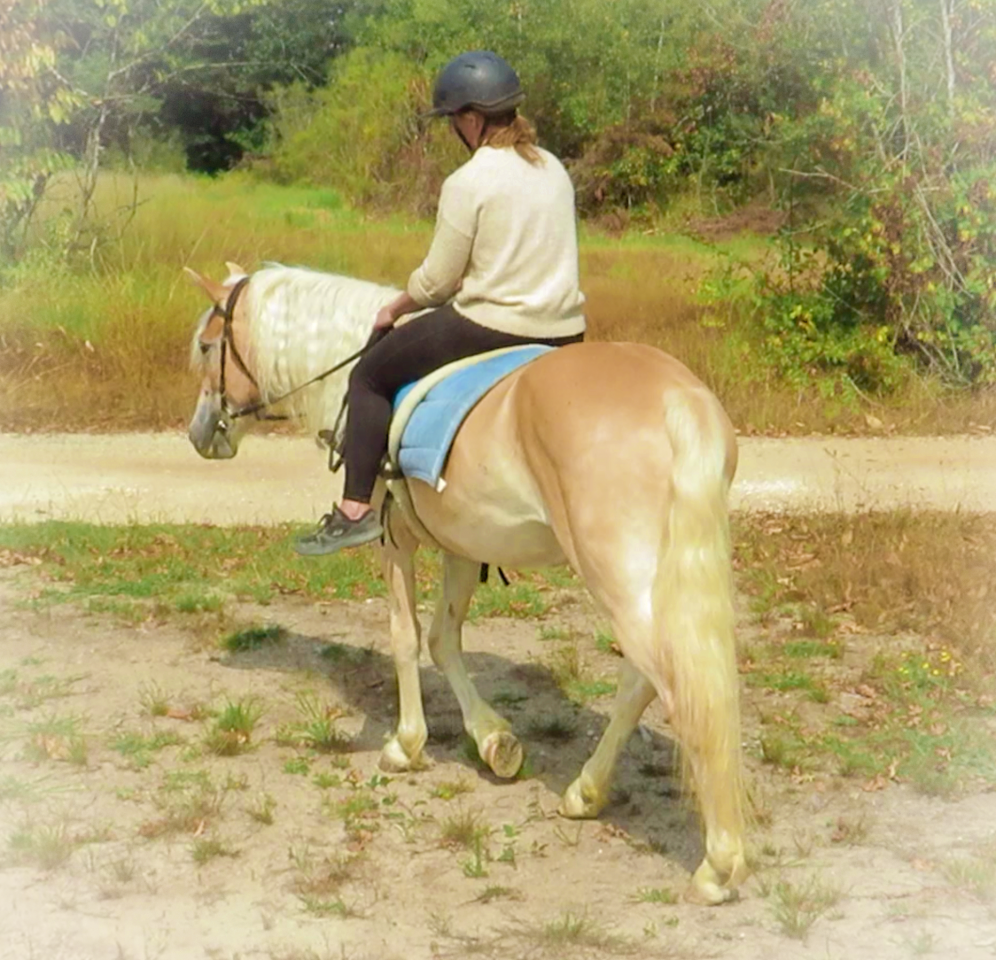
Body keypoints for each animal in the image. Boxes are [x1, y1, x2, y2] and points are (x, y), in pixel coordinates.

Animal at [185, 261, 748, 904]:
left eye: (207, 346)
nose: (200, 433)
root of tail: (678, 398)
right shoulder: (462, 542)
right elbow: (442, 639)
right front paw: (493, 740)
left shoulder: (395, 536)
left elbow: (405, 637)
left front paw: (405, 744)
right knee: (645, 680)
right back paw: (585, 793)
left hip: (620, 575)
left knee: (674, 685)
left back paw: (717, 862)